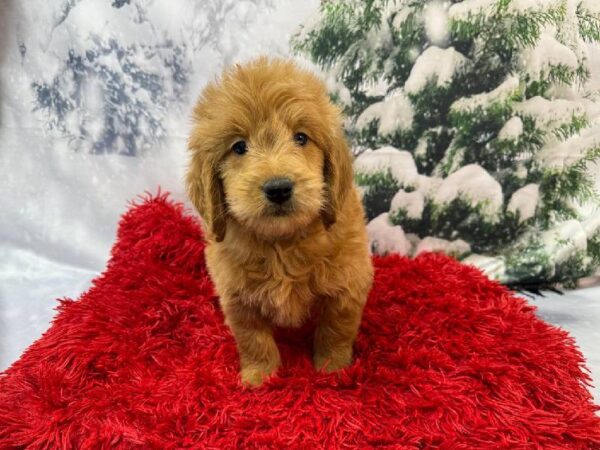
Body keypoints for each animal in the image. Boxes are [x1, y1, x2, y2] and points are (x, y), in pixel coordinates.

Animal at [188, 57, 372, 386]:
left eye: (301, 137)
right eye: (239, 147)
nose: (278, 189)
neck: (281, 243)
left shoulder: (348, 283)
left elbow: (335, 330)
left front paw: (333, 369)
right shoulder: (237, 298)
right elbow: (253, 339)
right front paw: (260, 376)